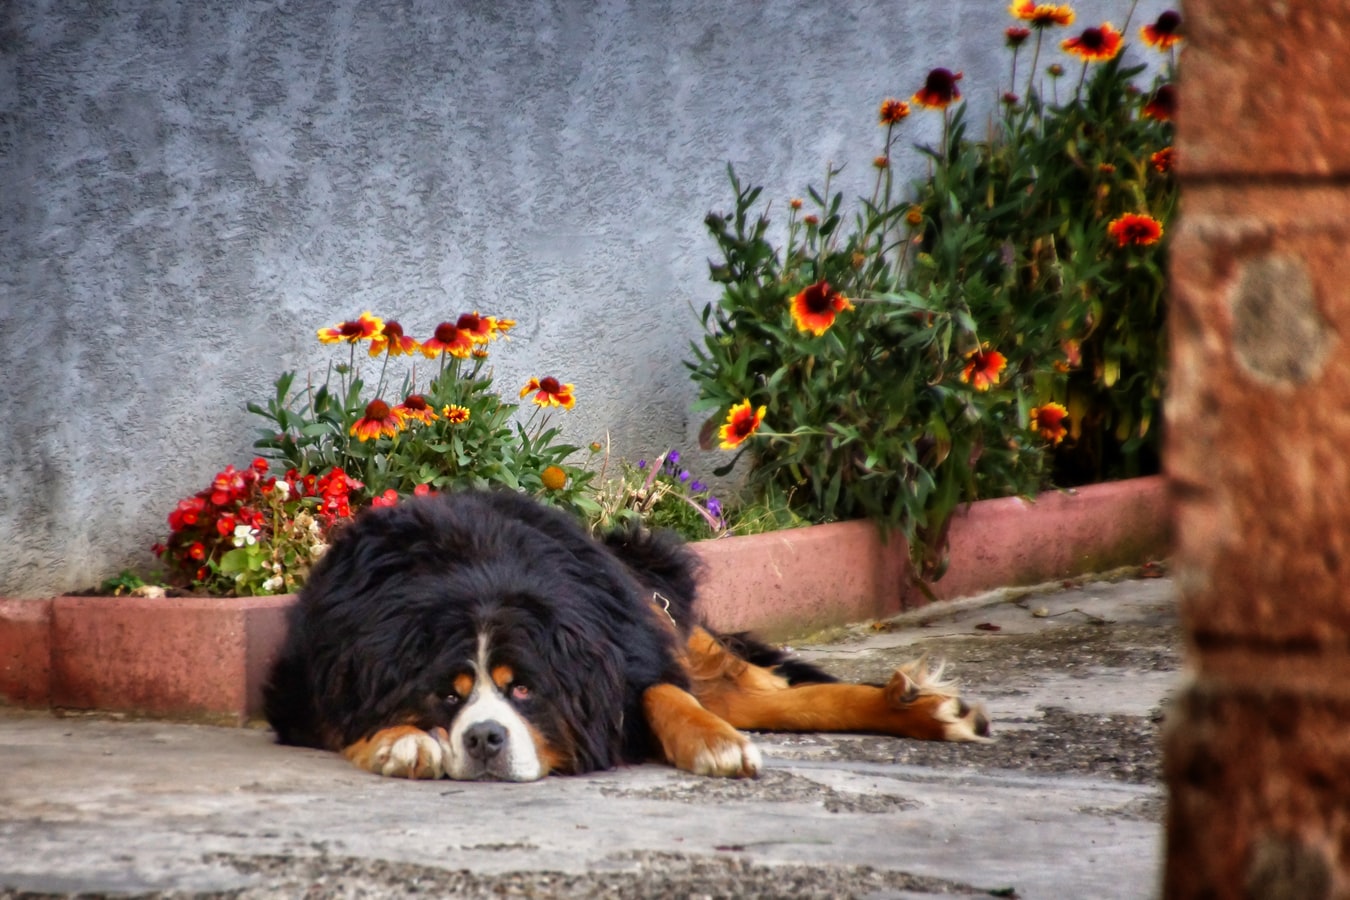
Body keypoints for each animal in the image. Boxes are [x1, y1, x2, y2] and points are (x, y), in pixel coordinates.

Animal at [263, 488, 988, 777]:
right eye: (449, 694)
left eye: (524, 690)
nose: (485, 739)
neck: (480, 575)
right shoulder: (316, 674)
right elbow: (348, 715)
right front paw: (406, 741)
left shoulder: (629, 648)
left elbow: (662, 694)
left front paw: (714, 745)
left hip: (657, 603)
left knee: (761, 690)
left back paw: (923, 709)